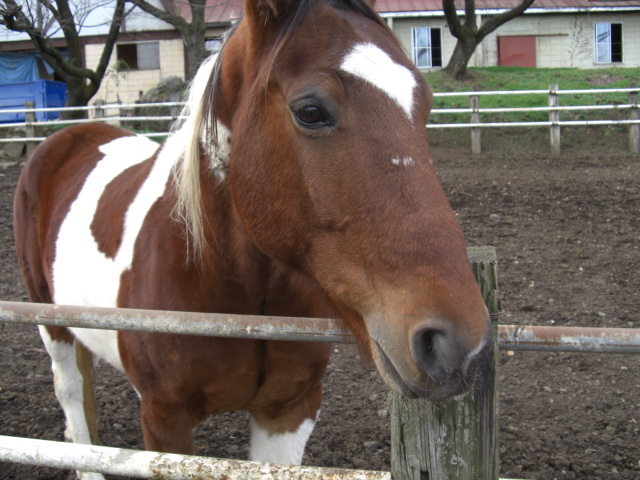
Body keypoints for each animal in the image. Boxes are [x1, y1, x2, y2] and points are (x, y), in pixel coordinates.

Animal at [13, 0, 491, 478]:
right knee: (73, 405)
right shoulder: (163, 419)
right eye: (310, 111)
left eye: (424, 104)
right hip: (51, 324)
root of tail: (68, 138)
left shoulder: (290, 411)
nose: (457, 343)